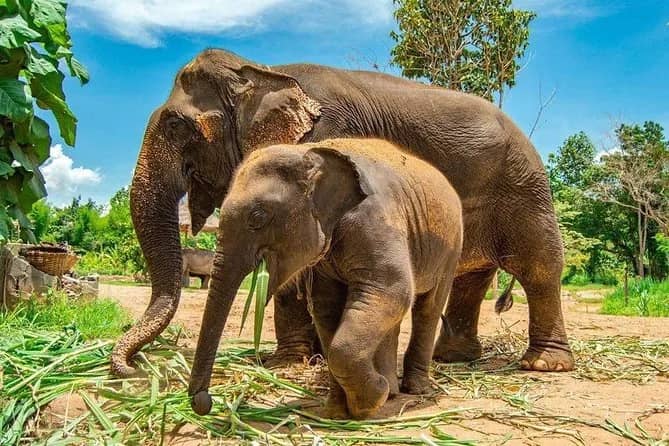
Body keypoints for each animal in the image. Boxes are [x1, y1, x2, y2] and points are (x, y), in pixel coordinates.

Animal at [112, 48, 573, 378]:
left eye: (176, 126)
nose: (132, 368)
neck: (263, 72)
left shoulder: (326, 138)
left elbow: (299, 262)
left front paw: (288, 363)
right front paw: (300, 359)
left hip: (525, 188)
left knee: (539, 266)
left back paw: (544, 365)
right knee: (469, 280)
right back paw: (454, 360)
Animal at [188, 138, 463, 419]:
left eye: (258, 217)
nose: (203, 401)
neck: (309, 151)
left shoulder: (374, 219)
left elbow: (393, 289)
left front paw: (370, 401)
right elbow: (327, 305)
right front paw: (337, 412)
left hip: (452, 246)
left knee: (428, 307)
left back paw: (415, 390)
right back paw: (392, 391)